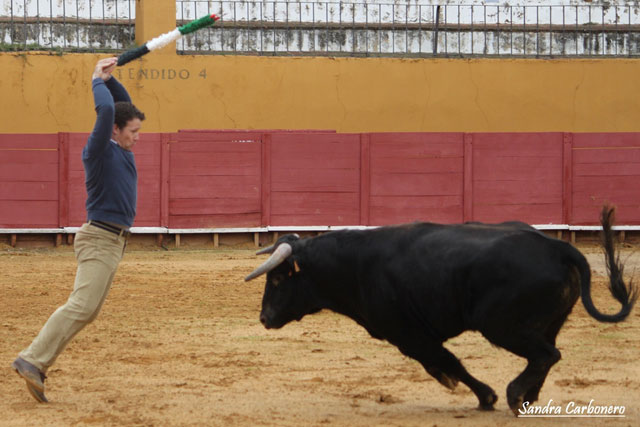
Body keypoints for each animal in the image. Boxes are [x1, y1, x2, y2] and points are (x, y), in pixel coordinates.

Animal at [244, 207, 636, 414]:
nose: (264, 318)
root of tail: (558, 248)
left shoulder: (410, 334)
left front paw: (485, 397)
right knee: (546, 354)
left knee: (546, 354)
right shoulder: (413, 337)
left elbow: (448, 362)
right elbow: (440, 364)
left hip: (500, 325)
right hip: (546, 322)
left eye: (277, 279)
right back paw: (528, 399)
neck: (354, 264)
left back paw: (514, 395)